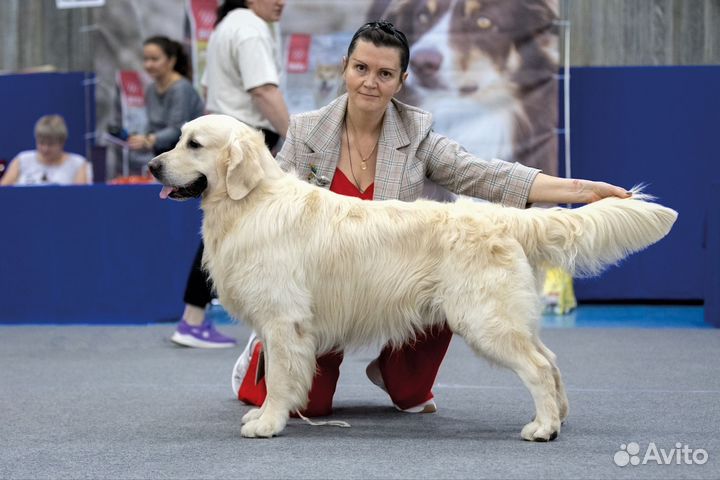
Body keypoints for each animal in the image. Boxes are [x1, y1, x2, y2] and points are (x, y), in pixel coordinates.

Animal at [149, 114, 676, 440]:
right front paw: (264, 414)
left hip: (485, 320)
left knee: (540, 367)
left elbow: (279, 376)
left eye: (194, 144)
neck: (250, 202)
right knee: (551, 359)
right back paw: (558, 418)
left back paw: (542, 428)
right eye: (179, 138)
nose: (152, 165)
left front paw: (267, 422)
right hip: (503, 317)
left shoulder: (284, 321)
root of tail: (502, 218)